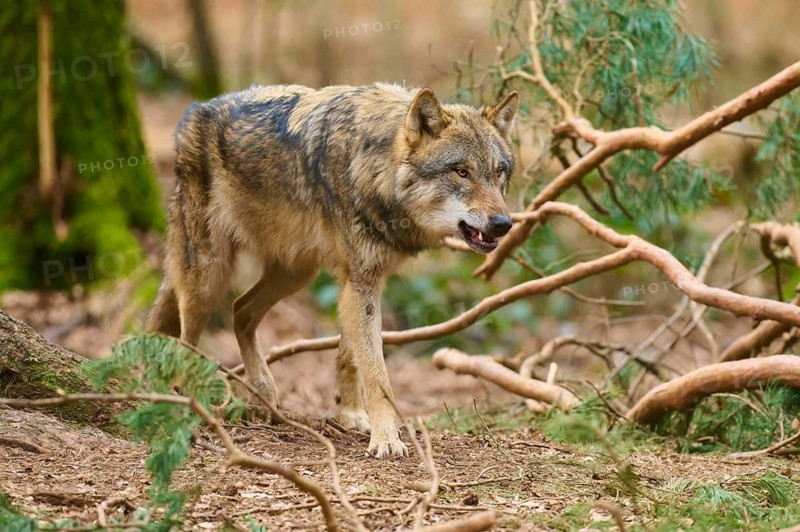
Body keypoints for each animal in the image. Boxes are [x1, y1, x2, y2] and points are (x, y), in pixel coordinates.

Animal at [145, 83, 518, 458]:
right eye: (461, 171)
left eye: (498, 172)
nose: (504, 224)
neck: (376, 166)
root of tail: (196, 109)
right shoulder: (360, 283)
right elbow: (377, 374)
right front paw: (387, 439)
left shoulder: (360, 281)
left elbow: (349, 357)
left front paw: (349, 414)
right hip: (209, 277)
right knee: (188, 338)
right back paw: (188, 398)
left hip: (295, 274)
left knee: (240, 311)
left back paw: (264, 392)